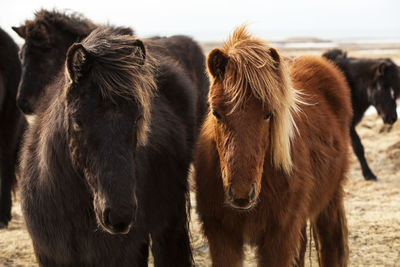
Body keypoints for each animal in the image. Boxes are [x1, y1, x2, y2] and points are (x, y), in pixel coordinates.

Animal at [195, 25, 352, 267]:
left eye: (268, 114)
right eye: (215, 112)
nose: (241, 194)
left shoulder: (279, 237)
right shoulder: (222, 237)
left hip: (329, 201)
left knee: (331, 245)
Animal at [324, 49, 398, 181]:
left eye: (395, 90)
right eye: (382, 87)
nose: (392, 118)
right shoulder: (348, 125)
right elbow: (358, 147)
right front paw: (369, 174)